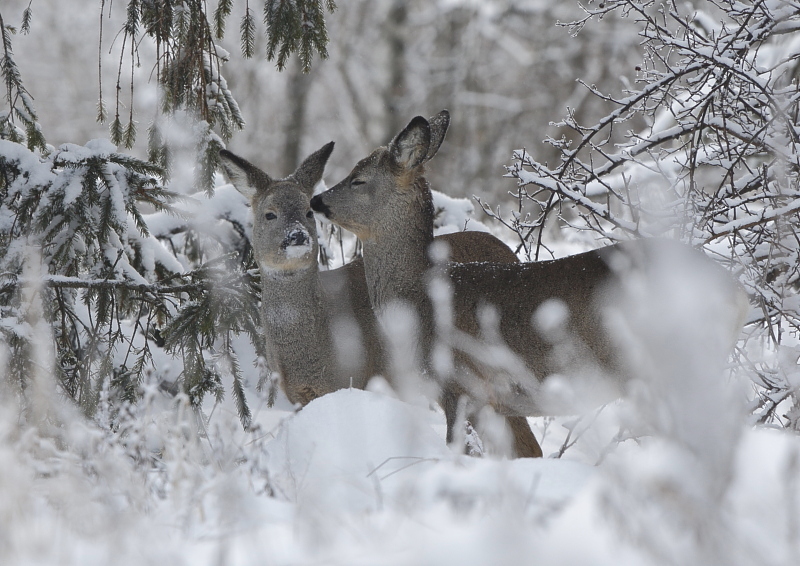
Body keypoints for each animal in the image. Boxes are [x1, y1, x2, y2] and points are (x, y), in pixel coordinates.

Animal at [220, 144, 544, 460]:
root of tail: (507, 250)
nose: (297, 236)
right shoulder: (299, 396)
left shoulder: (358, 379)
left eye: (308, 212)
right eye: (269, 214)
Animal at [310, 112, 748, 444]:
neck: (421, 295)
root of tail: (737, 291)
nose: (316, 199)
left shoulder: (463, 386)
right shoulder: (497, 402)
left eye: (358, 179)